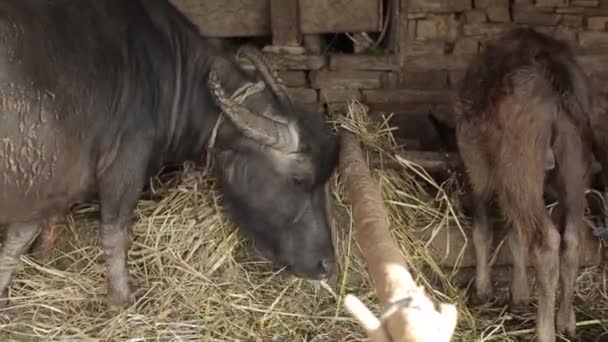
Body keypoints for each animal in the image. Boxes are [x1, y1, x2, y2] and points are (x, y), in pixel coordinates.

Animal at [0, 0, 340, 308]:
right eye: (298, 179)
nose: (327, 265)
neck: (164, 73)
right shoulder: (124, 163)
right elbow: (115, 232)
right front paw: (121, 300)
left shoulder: (45, 188)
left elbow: (17, 240)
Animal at [456, 27, 592, 342]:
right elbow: (514, 234)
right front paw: (518, 294)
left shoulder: (477, 166)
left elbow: (482, 229)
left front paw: (482, 289)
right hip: (571, 163)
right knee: (572, 238)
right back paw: (566, 320)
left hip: (518, 164)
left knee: (546, 242)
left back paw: (545, 330)